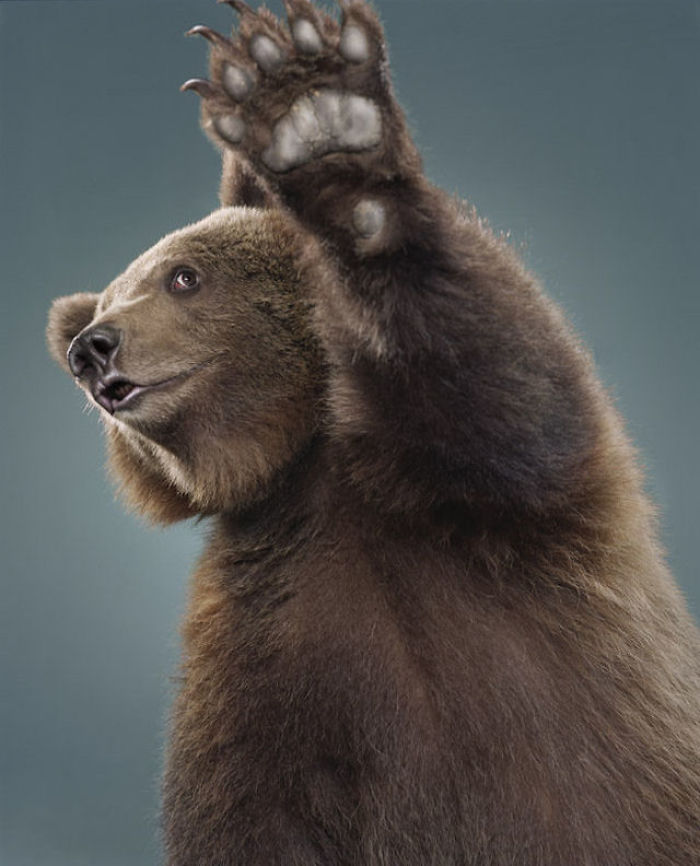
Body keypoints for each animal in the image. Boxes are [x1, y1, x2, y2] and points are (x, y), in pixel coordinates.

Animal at [46, 1, 700, 864]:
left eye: (183, 276)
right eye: (108, 298)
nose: (92, 350)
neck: (301, 469)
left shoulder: (499, 508)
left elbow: (501, 382)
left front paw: (312, 119)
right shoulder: (264, 651)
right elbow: (257, 808)